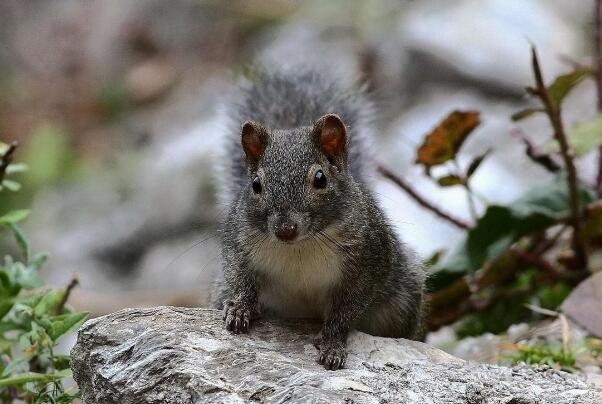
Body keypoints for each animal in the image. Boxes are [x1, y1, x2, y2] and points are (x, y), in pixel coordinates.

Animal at [213, 68, 424, 370]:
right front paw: (240, 309)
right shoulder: (239, 242)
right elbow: (239, 277)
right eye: (255, 184)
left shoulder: (368, 261)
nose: (285, 229)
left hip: (403, 297)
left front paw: (332, 344)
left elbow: (346, 310)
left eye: (320, 179)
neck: (301, 247)